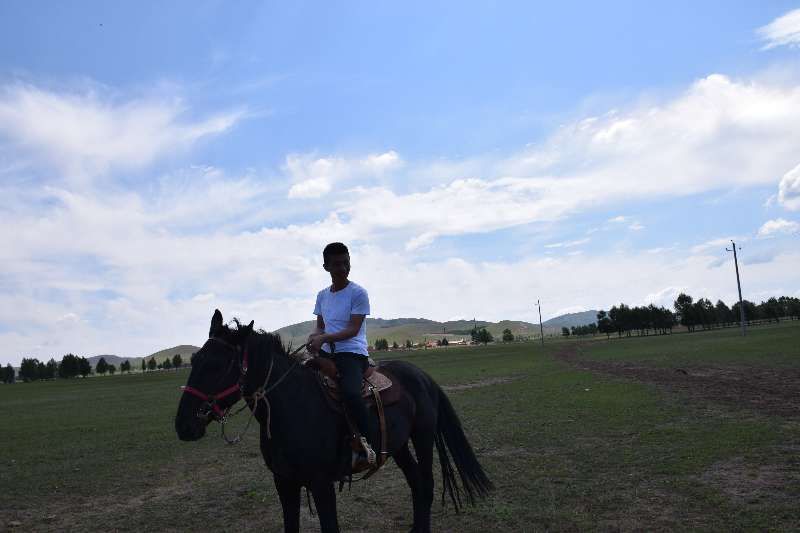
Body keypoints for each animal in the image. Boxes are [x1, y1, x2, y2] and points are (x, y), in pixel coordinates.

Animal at [175, 310, 494, 528]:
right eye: (196, 360)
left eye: (219, 365)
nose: (183, 425)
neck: (292, 407)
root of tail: (421, 376)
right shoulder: (285, 483)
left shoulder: (321, 484)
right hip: (398, 445)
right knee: (417, 485)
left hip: (423, 436)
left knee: (426, 485)